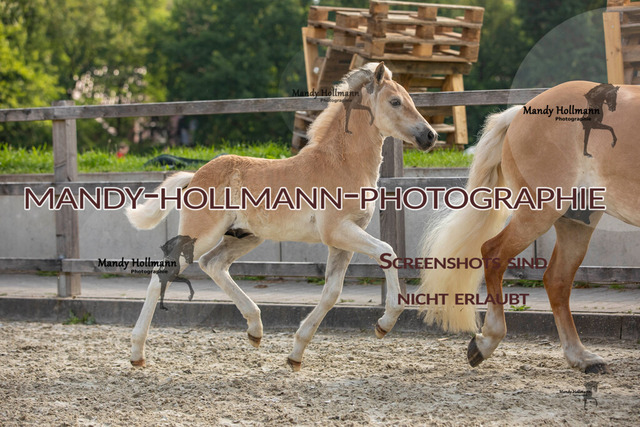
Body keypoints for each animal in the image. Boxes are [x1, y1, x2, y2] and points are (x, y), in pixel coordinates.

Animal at [126, 62, 437, 370]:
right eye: (395, 101)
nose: (430, 136)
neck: (342, 163)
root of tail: (194, 176)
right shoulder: (338, 231)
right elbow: (387, 251)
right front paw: (386, 322)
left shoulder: (343, 240)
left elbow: (332, 292)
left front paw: (296, 353)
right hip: (201, 234)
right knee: (163, 273)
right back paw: (137, 353)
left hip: (245, 237)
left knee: (213, 264)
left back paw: (255, 329)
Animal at [419, 80, 639, 374]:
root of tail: (521, 112)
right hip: (538, 213)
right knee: (493, 253)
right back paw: (485, 343)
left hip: (578, 221)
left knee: (557, 280)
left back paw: (581, 357)